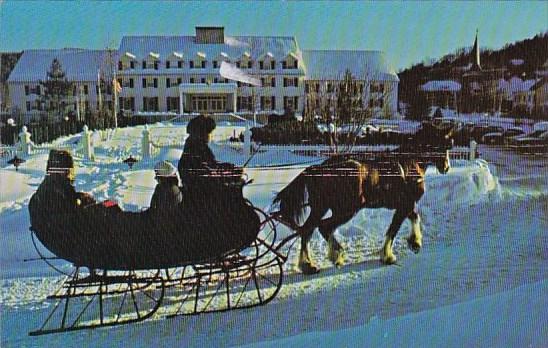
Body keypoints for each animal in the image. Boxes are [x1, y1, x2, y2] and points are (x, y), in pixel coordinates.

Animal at [274, 125, 454, 274]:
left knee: (307, 230)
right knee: (323, 227)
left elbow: (414, 217)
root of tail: (317, 168)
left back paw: (309, 264)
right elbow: (394, 229)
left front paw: (414, 242)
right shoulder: (404, 205)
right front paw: (388, 256)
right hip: (347, 209)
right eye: (445, 145)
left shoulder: (405, 205)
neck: (410, 163)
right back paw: (335, 256)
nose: (446, 167)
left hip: (321, 207)